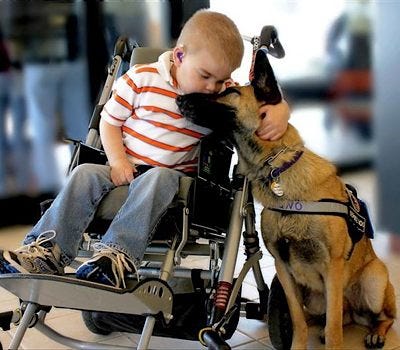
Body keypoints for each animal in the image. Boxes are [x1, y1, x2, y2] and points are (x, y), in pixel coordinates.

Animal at [178, 48, 396, 348]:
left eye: (230, 92)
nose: (179, 98)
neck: (276, 168)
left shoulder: (332, 268)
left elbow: (334, 330)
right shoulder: (283, 269)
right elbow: (298, 321)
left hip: (374, 282)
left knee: (382, 317)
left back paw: (376, 333)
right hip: (315, 299)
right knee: (329, 317)